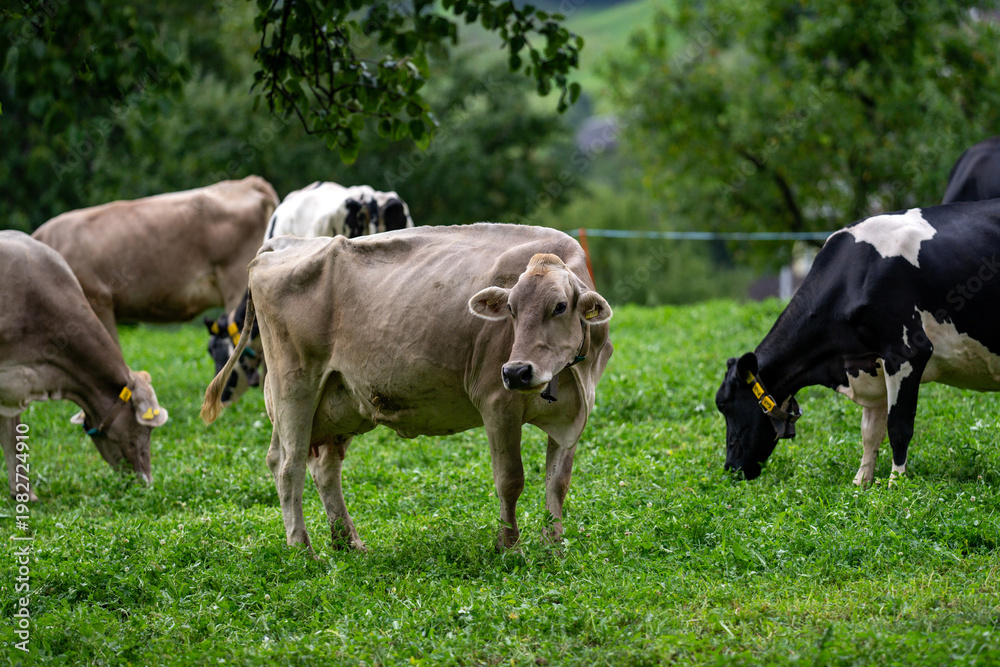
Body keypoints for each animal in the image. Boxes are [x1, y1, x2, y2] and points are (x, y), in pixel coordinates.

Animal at [201, 223, 613, 553]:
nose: (516, 371)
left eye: (559, 306)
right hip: (294, 386)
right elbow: (510, 480)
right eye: (510, 309)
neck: (565, 375)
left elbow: (557, 482)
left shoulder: (575, 414)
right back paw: (303, 549)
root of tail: (284, 243)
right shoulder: (497, 403)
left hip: (336, 401)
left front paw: (553, 544)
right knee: (288, 466)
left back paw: (348, 542)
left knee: (323, 468)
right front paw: (510, 547)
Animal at [716, 200, 1000, 486]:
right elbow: (870, 432)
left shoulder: (907, 352)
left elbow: (898, 426)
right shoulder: (869, 364)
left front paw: (896, 484)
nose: (730, 467)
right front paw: (861, 483)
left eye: (724, 405)